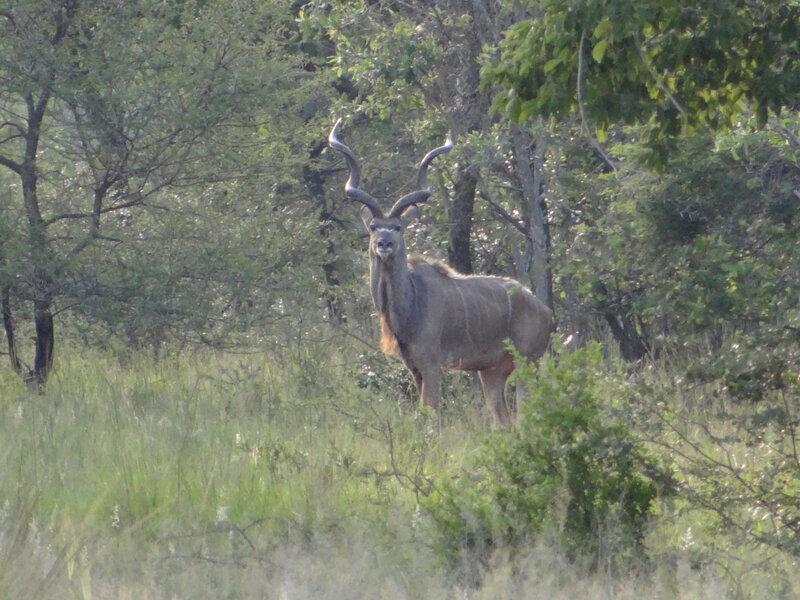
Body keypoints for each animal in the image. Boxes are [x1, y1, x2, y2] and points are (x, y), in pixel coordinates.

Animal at [328, 120, 554, 425]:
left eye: (397, 227)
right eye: (374, 227)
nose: (384, 244)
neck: (411, 304)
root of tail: (546, 312)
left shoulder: (431, 363)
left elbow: (431, 417)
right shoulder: (414, 368)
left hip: (527, 362)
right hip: (491, 372)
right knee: (503, 419)